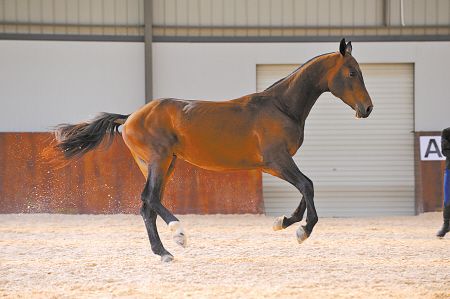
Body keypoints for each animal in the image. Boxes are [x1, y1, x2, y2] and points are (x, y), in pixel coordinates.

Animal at [53, 38, 372, 262]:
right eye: (352, 73)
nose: (367, 108)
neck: (281, 107)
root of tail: (130, 117)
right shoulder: (277, 161)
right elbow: (307, 185)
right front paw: (302, 231)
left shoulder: (275, 165)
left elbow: (307, 188)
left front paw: (283, 222)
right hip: (159, 160)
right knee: (149, 199)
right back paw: (178, 234)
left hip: (162, 164)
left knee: (148, 205)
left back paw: (164, 252)